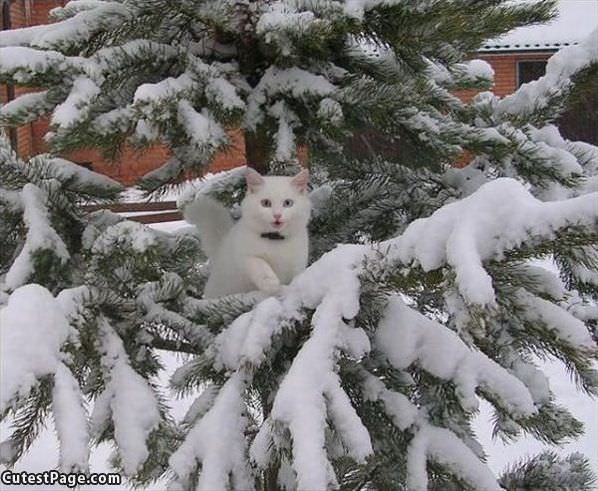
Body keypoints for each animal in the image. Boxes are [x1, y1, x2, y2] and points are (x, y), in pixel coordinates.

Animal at [185, 169, 312, 298]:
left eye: (287, 203)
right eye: (266, 203)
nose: (277, 215)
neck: (275, 239)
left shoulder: (298, 264)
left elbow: (296, 277)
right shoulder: (244, 256)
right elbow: (259, 264)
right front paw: (271, 284)